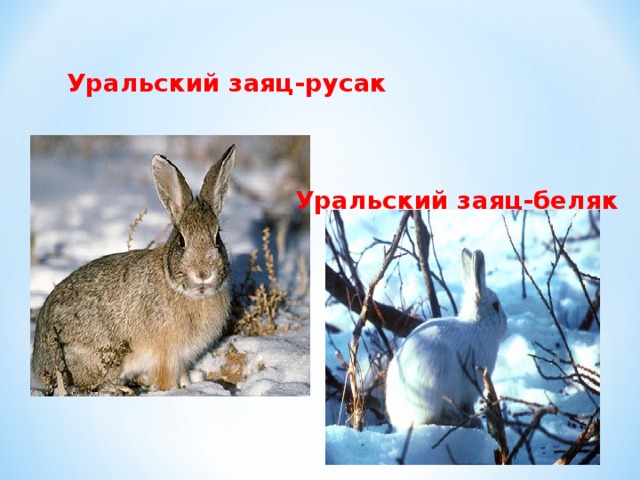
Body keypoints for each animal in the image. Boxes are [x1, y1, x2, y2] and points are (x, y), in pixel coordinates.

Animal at [31, 145, 236, 394]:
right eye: (181, 240)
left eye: (217, 238)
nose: (203, 273)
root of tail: (38, 363)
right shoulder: (165, 356)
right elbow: (166, 380)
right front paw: (172, 391)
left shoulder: (182, 358)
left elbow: (184, 375)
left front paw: (190, 385)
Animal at [385, 248, 507, 429]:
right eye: (496, 306)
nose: (506, 323)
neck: (478, 324)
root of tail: (403, 419)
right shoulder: (471, 387)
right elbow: (469, 405)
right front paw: (475, 419)